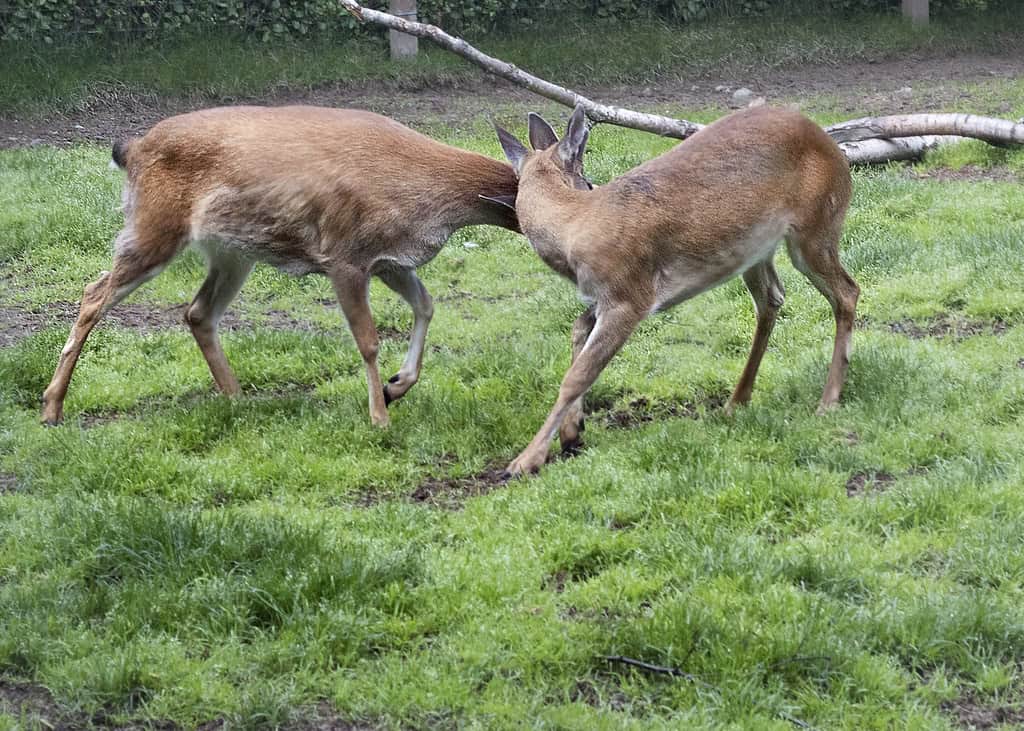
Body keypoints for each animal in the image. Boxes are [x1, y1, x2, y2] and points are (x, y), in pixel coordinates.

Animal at [41, 105, 519, 427]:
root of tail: (131, 150)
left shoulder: (390, 261)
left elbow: (426, 305)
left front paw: (397, 385)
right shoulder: (345, 255)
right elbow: (368, 341)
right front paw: (379, 415)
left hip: (232, 252)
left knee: (197, 312)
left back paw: (237, 398)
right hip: (153, 225)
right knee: (94, 293)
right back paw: (51, 406)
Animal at [494, 104, 859, 476]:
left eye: (587, 179)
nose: (589, 182)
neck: (573, 225)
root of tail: (830, 144)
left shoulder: (629, 295)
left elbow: (578, 374)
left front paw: (525, 460)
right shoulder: (605, 296)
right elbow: (577, 329)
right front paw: (571, 432)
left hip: (816, 226)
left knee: (847, 291)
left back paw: (827, 400)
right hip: (755, 250)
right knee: (773, 297)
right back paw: (736, 401)